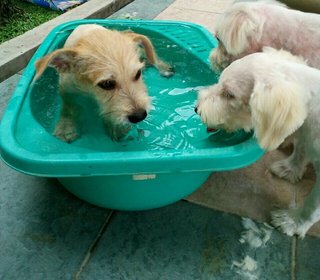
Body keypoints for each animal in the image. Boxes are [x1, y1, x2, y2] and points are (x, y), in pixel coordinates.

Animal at [196, 47, 320, 236]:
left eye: (229, 94)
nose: (197, 109)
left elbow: (312, 207)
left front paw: (291, 222)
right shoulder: (306, 133)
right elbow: (301, 148)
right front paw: (289, 169)